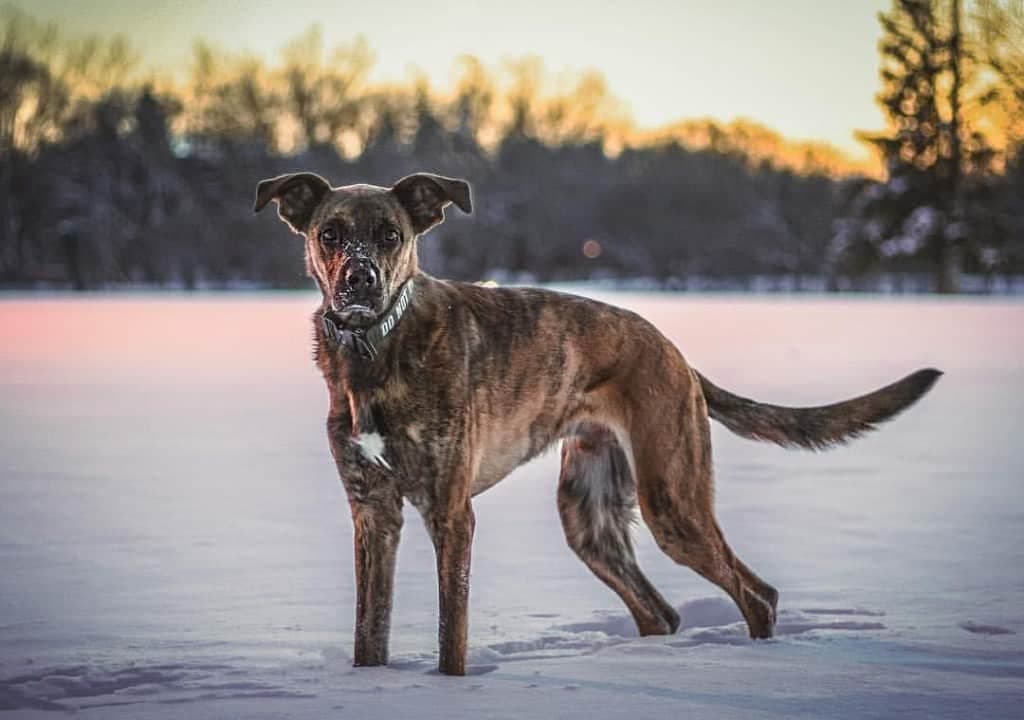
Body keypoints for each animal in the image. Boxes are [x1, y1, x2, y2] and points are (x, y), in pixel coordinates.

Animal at [251, 172, 937, 680]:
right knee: (660, 612)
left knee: (757, 594)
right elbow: (370, 634)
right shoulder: (373, 514)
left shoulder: (451, 513)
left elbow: (452, 638)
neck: (374, 348)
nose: (359, 281)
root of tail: (678, 354)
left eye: (391, 235)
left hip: (673, 502)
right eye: (331, 233)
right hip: (590, 519)